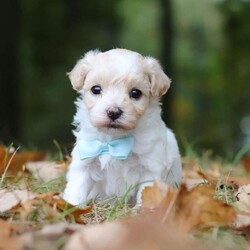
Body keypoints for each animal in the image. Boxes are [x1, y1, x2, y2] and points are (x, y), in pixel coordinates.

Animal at [63, 48, 183, 205]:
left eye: (135, 93)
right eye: (96, 89)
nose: (113, 112)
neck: (114, 141)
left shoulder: (150, 168)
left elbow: (147, 193)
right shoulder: (85, 161)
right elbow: (77, 187)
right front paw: (71, 206)